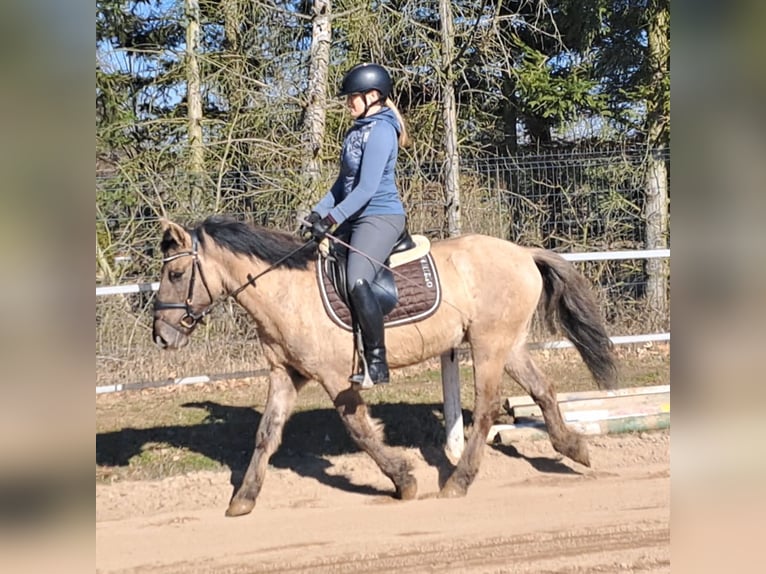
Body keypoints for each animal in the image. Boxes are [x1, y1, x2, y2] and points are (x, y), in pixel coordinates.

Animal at [152, 215, 617, 517]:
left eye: (175, 274)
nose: (161, 336)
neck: (285, 291)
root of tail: (522, 252)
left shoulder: (335, 378)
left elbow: (359, 429)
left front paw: (404, 481)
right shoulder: (286, 374)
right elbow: (266, 434)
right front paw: (243, 499)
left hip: (489, 346)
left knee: (486, 409)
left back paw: (458, 482)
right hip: (510, 344)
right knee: (543, 390)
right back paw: (574, 448)